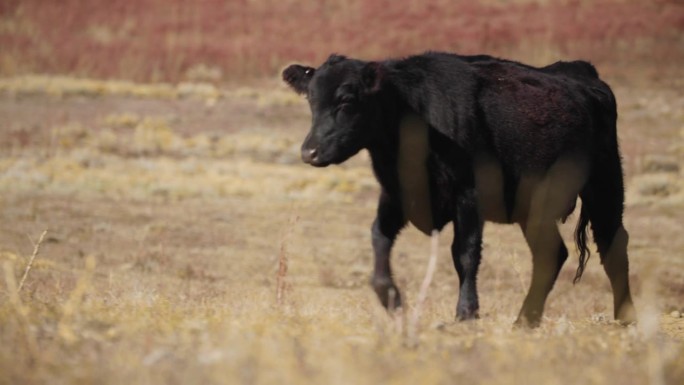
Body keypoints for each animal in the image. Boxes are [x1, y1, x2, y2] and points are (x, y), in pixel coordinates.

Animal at [280, 51, 632, 328]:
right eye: (311, 99)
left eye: (346, 100)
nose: (309, 152)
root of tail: (581, 74)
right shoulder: (397, 196)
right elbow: (379, 238)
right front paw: (391, 298)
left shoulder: (468, 196)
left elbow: (464, 254)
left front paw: (466, 312)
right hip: (534, 209)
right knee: (551, 254)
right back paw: (524, 320)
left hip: (605, 185)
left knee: (613, 246)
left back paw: (625, 318)